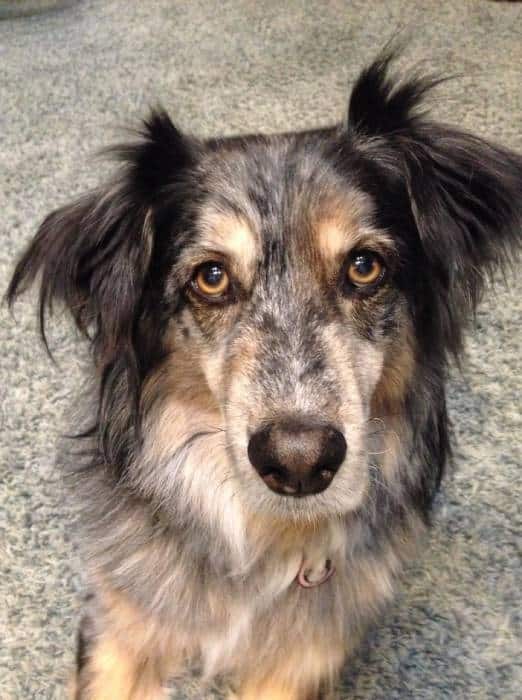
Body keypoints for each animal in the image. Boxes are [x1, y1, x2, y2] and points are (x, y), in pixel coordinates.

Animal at [5, 47, 520, 696]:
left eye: (365, 265)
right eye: (211, 277)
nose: (298, 462)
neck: (262, 534)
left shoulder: (303, 659)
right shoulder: (118, 623)